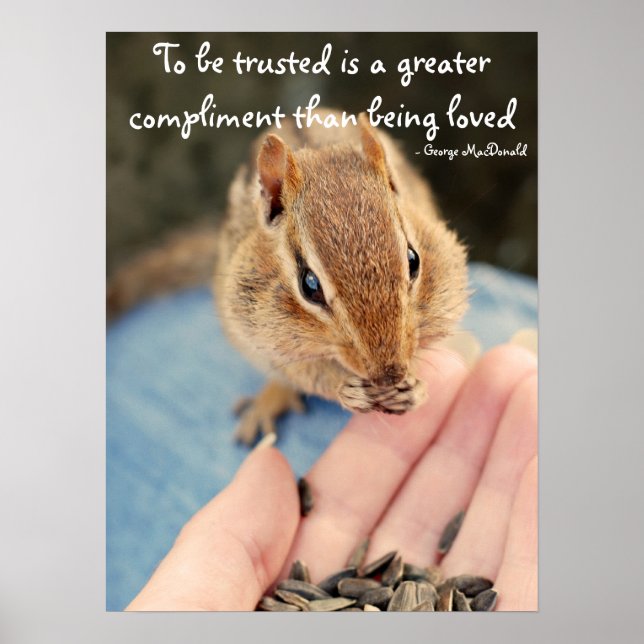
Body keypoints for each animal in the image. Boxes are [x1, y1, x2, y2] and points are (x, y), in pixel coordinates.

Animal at [108, 109, 469, 444]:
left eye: (413, 260)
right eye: (309, 285)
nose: (388, 375)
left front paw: (416, 385)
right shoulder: (256, 329)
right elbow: (300, 370)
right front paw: (345, 389)